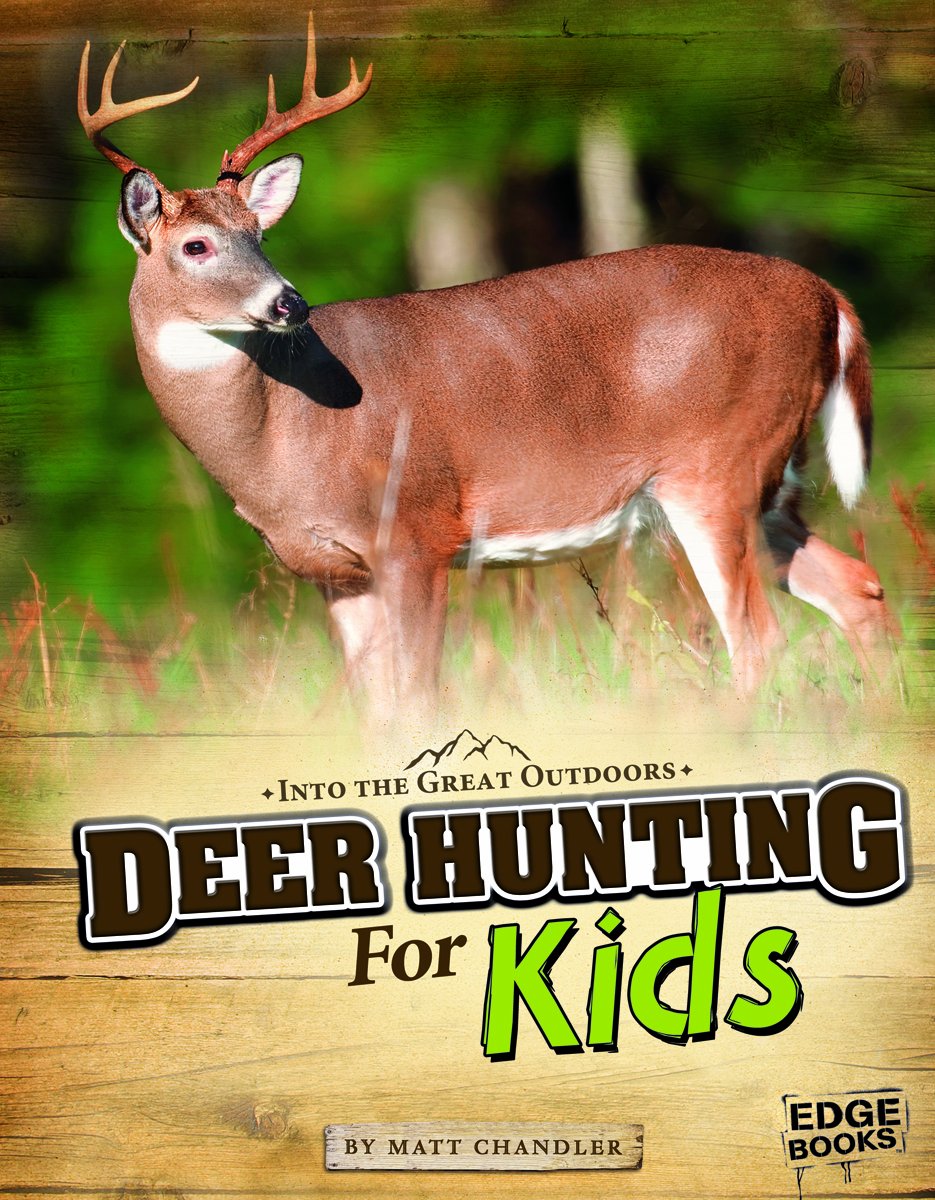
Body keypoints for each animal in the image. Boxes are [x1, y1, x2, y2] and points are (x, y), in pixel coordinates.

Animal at [78, 13, 891, 717]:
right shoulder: (333, 571)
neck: (281, 439)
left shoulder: (415, 531)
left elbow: (419, 697)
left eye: (259, 235)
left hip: (717, 465)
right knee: (858, 586)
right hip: (770, 477)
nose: (289, 302)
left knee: (758, 639)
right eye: (198, 245)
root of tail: (828, 297)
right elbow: (377, 713)